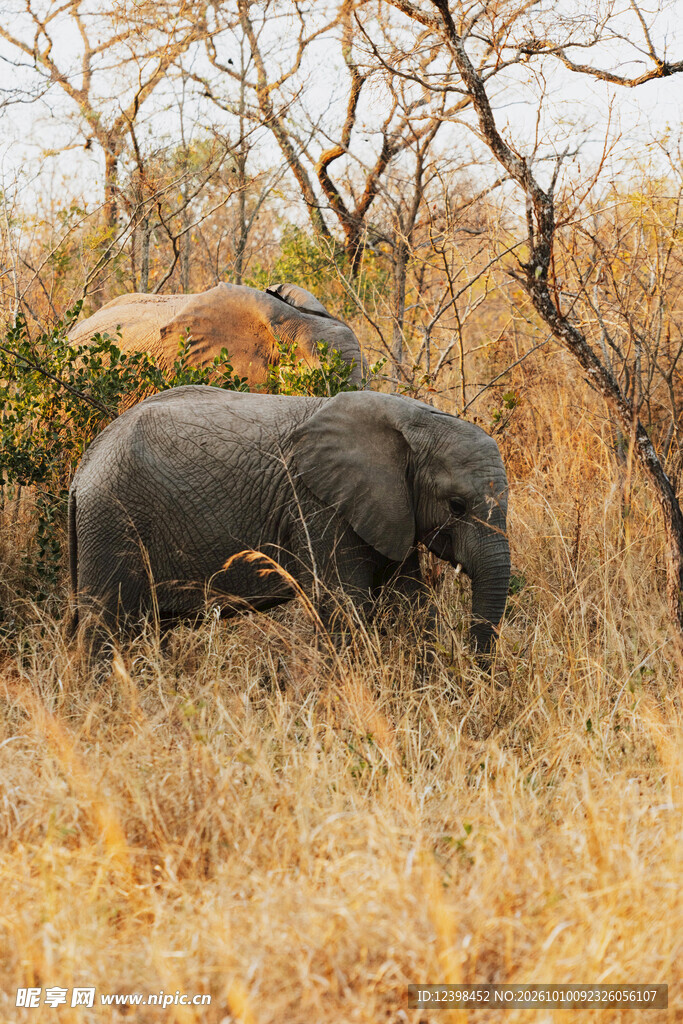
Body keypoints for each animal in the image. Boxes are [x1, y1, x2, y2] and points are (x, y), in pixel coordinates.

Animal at [68, 388, 510, 653]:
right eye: (457, 506)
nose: (475, 666)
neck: (413, 419)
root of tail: (82, 469)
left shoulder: (387, 507)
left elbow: (408, 600)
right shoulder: (318, 505)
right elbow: (344, 604)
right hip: (111, 522)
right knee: (105, 627)